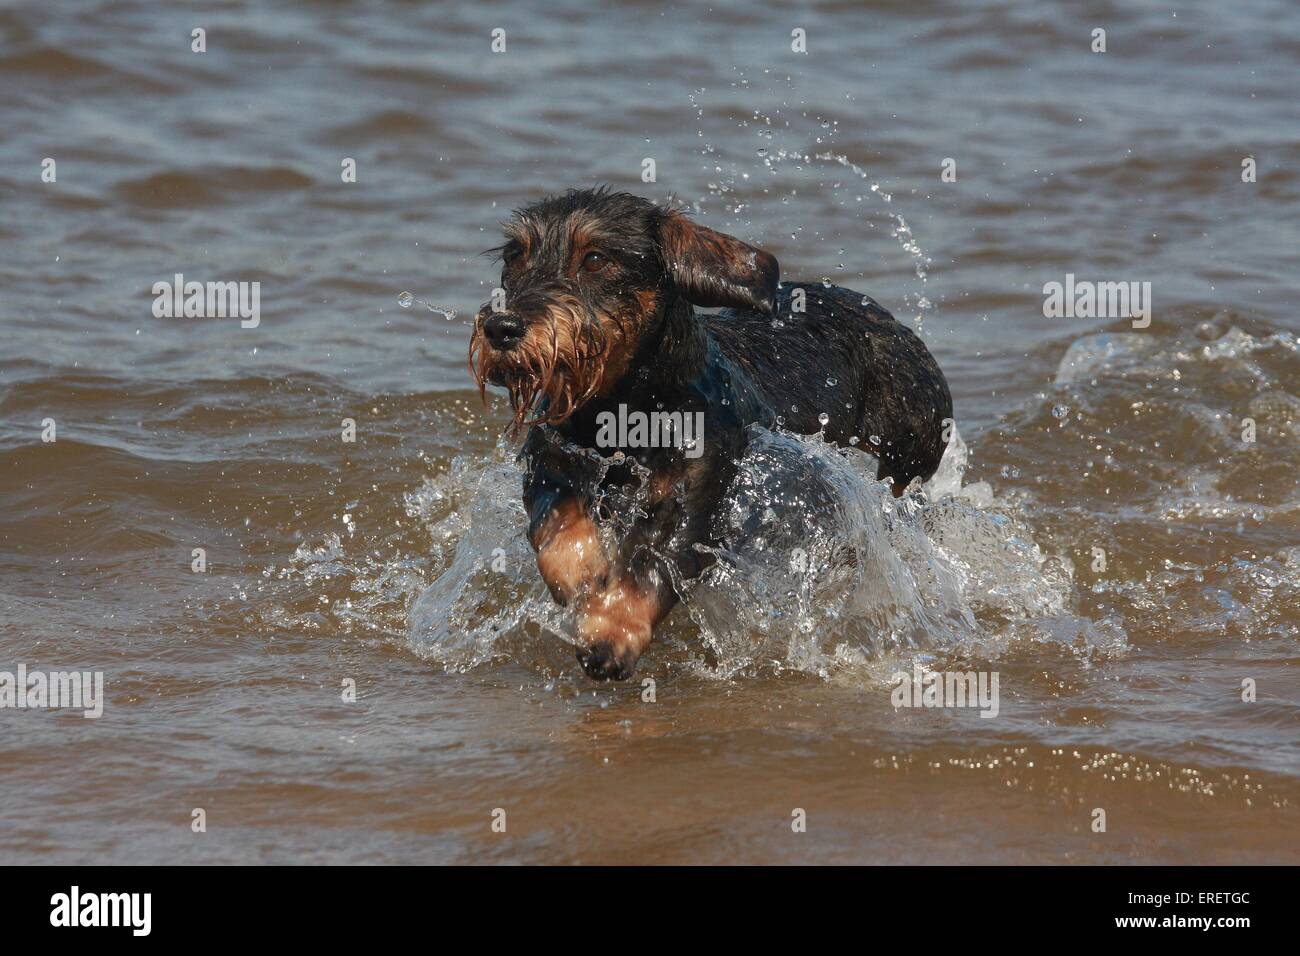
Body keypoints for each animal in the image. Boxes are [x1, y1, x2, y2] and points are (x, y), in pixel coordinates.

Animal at [473, 187, 951, 681]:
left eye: (596, 258)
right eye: (514, 255)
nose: (501, 327)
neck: (622, 414)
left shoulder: (695, 491)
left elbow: (651, 560)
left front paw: (610, 633)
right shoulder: (550, 464)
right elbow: (554, 528)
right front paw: (583, 572)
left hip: (911, 450)